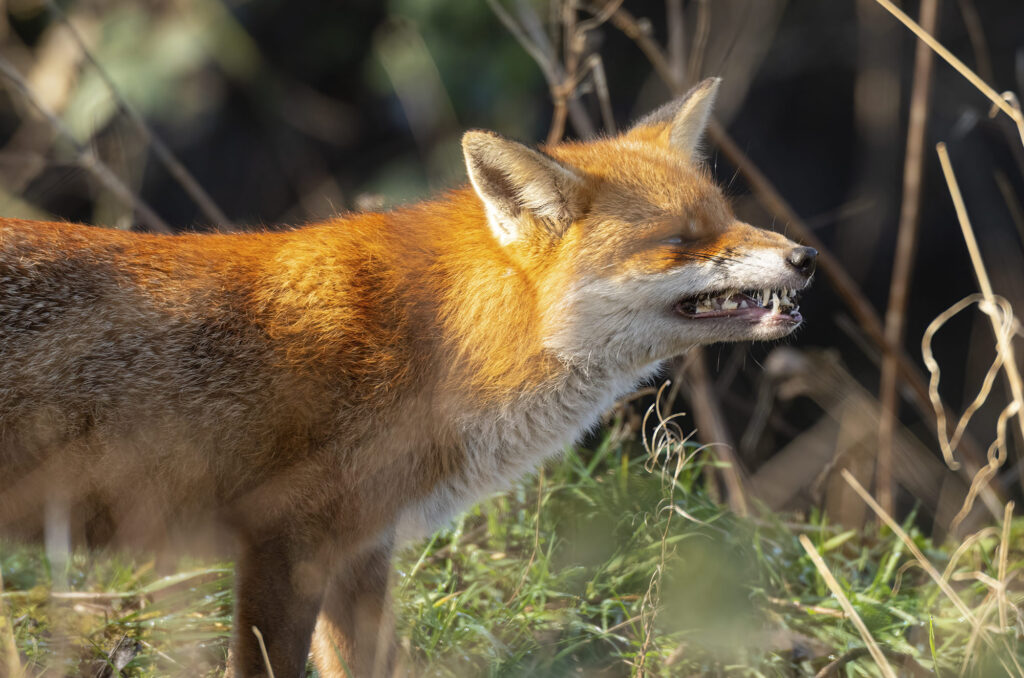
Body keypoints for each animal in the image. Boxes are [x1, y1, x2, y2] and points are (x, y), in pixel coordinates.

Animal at [0, 78, 815, 675]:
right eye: (682, 239)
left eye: (727, 216)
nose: (805, 257)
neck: (443, 345)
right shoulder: (283, 543)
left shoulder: (361, 552)